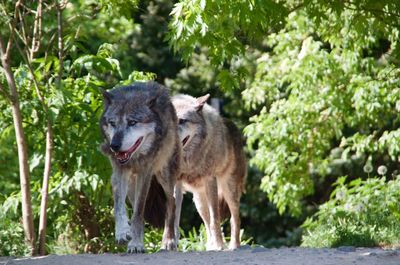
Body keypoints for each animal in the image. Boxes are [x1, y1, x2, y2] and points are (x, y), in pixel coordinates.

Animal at [99, 81, 180, 252]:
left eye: (132, 122)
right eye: (112, 123)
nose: (114, 146)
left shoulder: (145, 173)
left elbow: (138, 212)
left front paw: (136, 244)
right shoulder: (118, 172)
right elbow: (119, 207)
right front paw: (122, 233)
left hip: (164, 176)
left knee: (172, 203)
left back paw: (168, 241)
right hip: (131, 185)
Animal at [172, 93, 247, 250]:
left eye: (182, 121)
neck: (188, 161)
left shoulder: (210, 180)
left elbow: (216, 219)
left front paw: (219, 245)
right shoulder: (175, 183)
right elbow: (173, 217)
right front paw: (170, 243)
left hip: (229, 191)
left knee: (234, 219)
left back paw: (233, 245)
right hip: (199, 202)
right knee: (206, 224)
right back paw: (210, 246)